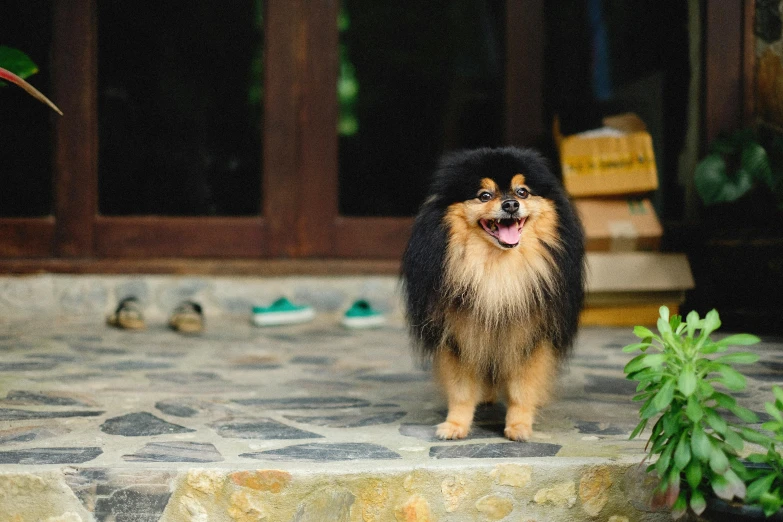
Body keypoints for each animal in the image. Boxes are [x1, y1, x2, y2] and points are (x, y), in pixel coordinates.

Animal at [404, 145, 580, 438]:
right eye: (484, 195)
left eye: (522, 192)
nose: (510, 205)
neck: (497, 271)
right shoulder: (460, 335)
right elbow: (462, 390)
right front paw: (455, 425)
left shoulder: (529, 336)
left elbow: (522, 387)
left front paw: (519, 426)